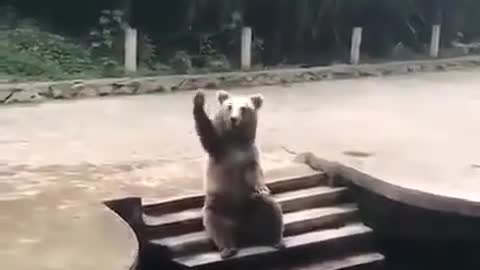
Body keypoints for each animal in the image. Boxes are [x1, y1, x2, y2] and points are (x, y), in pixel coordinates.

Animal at [192, 89, 284, 260]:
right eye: (229, 106)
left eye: (244, 108)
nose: (234, 119)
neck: (235, 140)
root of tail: (243, 230)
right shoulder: (220, 149)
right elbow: (207, 132)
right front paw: (199, 100)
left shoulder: (249, 154)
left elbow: (254, 171)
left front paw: (262, 187)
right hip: (219, 206)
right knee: (217, 227)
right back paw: (228, 249)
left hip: (252, 203)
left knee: (272, 210)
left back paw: (276, 240)